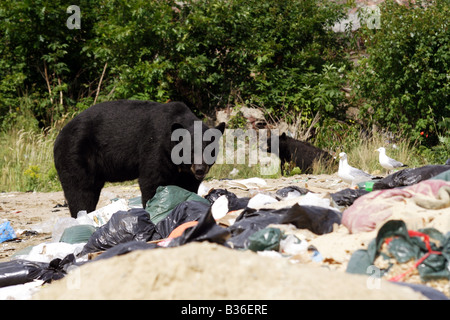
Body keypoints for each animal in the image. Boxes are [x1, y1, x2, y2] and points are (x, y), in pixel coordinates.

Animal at [53, 100, 225, 219]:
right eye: (190, 151)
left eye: (209, 151)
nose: (200, 169)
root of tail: (59, 136)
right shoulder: (156, 147)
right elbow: (151, 180)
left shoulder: (186, 172)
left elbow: (188, 185)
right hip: (75, 154)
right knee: (81, 191)